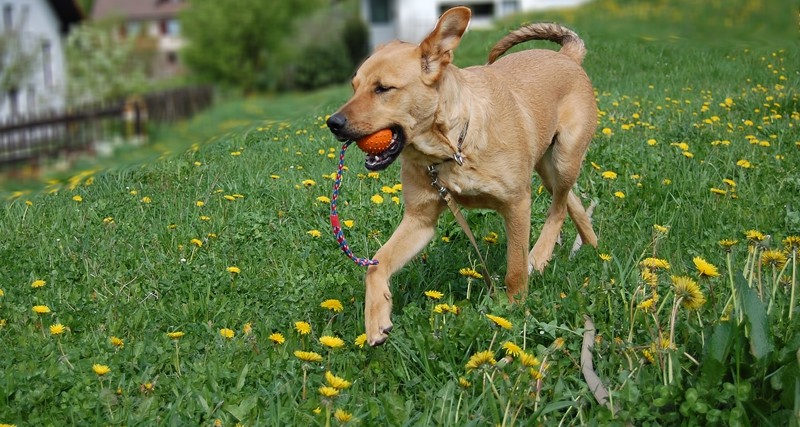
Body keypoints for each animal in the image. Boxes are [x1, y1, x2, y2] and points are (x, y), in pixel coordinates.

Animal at [328, 5, 596, 348]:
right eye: (354, 87)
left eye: (383, 89)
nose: (333, 123)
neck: (452, 146)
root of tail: (567, 56)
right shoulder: (419, 220)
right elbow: (376, 265)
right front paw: (376, 319)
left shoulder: (517, 204)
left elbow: (515, 269)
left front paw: (515, 310)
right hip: (547, 167)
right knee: (572, 201)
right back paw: (593, 248)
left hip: (564, 158)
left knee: (559, 208)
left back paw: (541, 255)